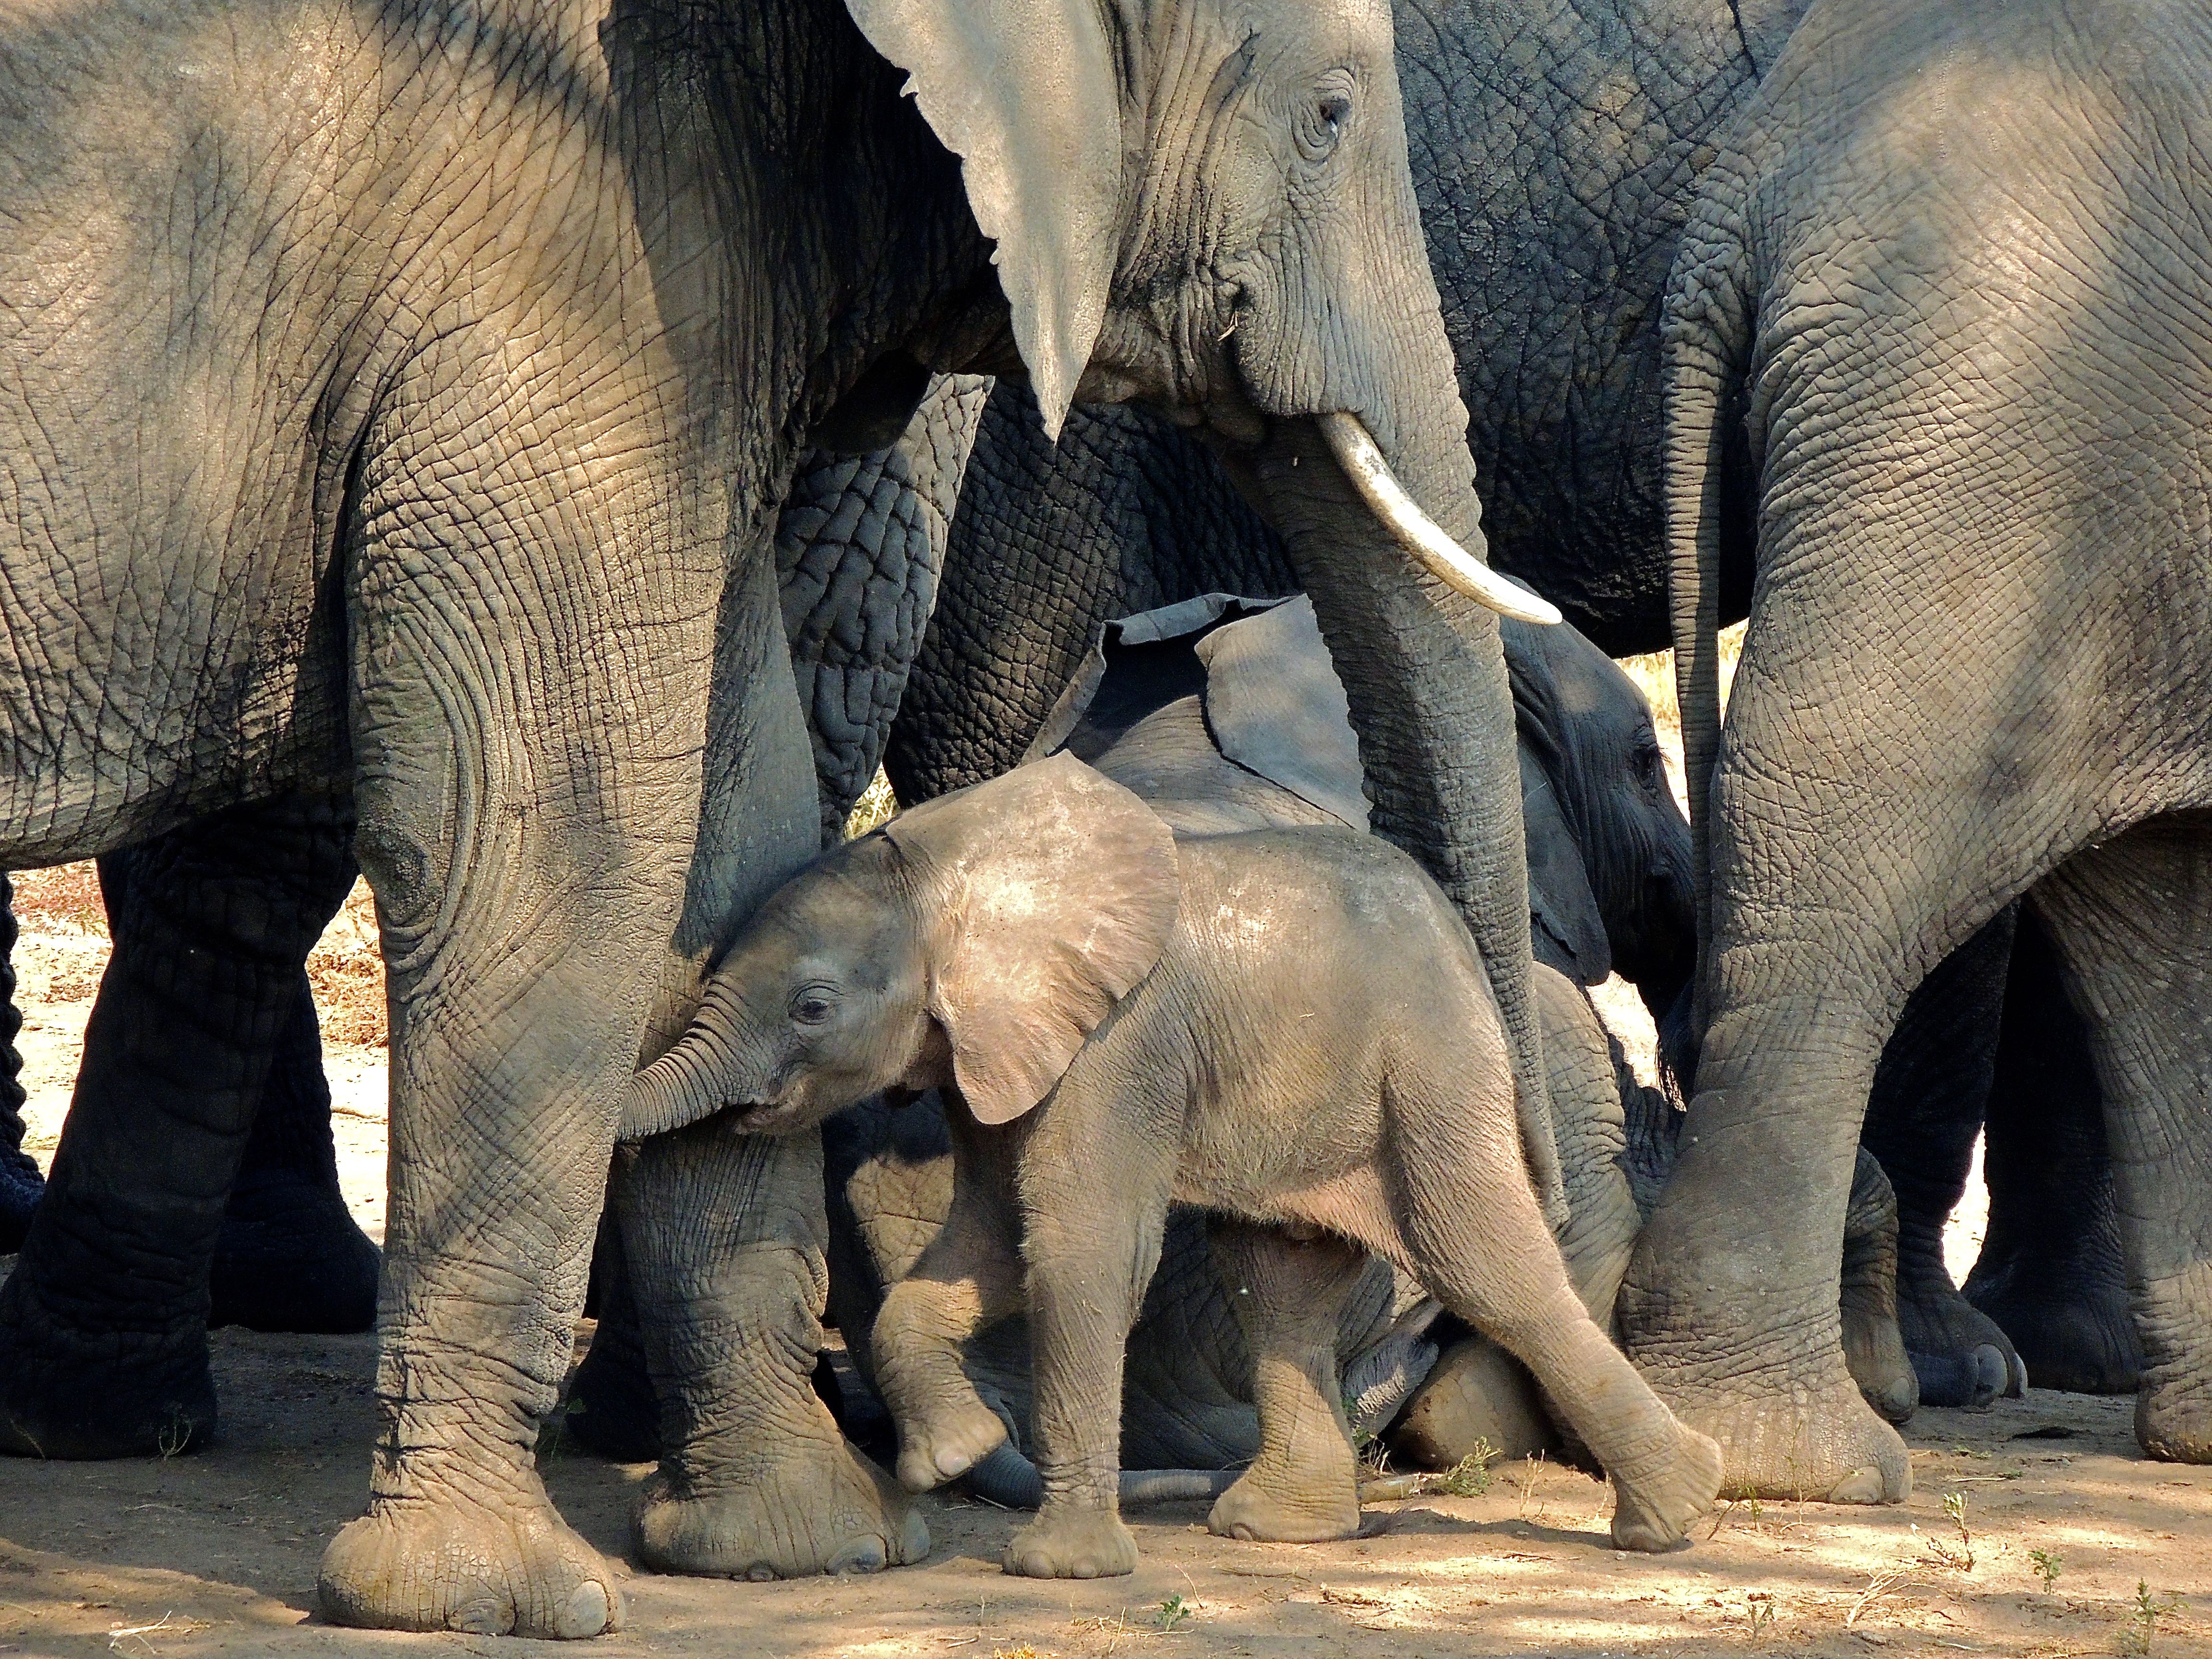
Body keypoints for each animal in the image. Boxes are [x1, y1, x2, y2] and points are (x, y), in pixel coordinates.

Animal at [0, 0, 1557, 1636]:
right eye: (1330, 114)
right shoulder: (560, 291)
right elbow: (550, 845)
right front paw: (482, 1601)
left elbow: (726, 838)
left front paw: (809, 1547)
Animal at [624, 756, 1725, 1584]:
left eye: (811, 1009)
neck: (948, 874)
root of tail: (1463, 936)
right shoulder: (999, 1058)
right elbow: (992, 1241)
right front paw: (954, 1452)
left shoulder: (1117, 1048)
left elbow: (1082, 1248)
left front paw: (1060, 1570)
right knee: (1279, 1280)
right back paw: (1278, 1530)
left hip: (1431, 1063)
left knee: (1483, 1265)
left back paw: (1680, 1514)